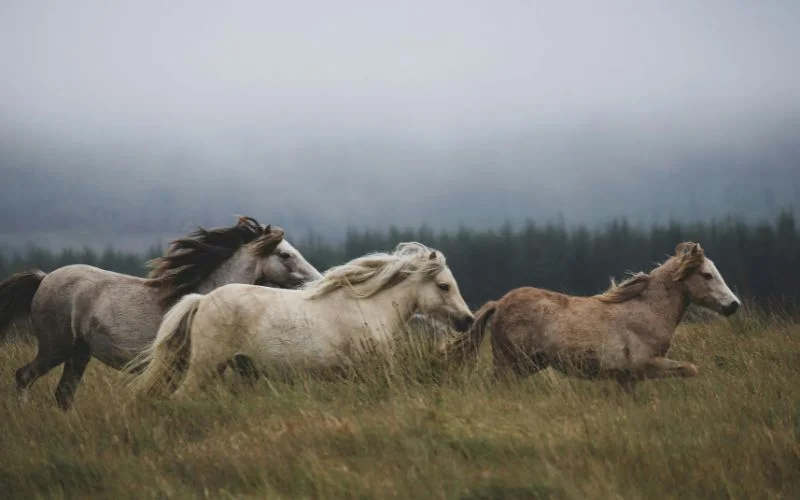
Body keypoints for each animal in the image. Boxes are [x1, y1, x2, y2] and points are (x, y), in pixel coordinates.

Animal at [0, 216, 322, 410]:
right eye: (285, 255)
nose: (317, 280)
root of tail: (44, 278)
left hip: (79, 354)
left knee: (64, 393)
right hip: (56, 347)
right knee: (24, 376)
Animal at [441, 242, 740, 385]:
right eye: (707, 275)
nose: (733, 304)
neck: (648, 311)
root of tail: (499, 303)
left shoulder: (626, 379)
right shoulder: (645, 365)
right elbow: (690, 369)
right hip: (512, 364)